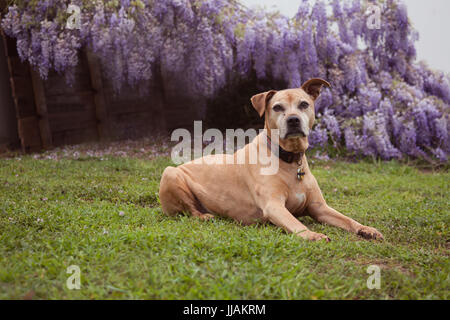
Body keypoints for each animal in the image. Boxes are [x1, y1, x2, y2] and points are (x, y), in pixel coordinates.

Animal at [158, 79, 384, 241]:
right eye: (277, 107)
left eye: (304, 104)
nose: (293, 120)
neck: (290, 160)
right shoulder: (274, 206)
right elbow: (297, 225)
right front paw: (312, 235)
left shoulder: (319, 208)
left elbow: (347, 219)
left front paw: (366, 229)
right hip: (171, 174)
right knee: (190, 211)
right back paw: (205, 216)